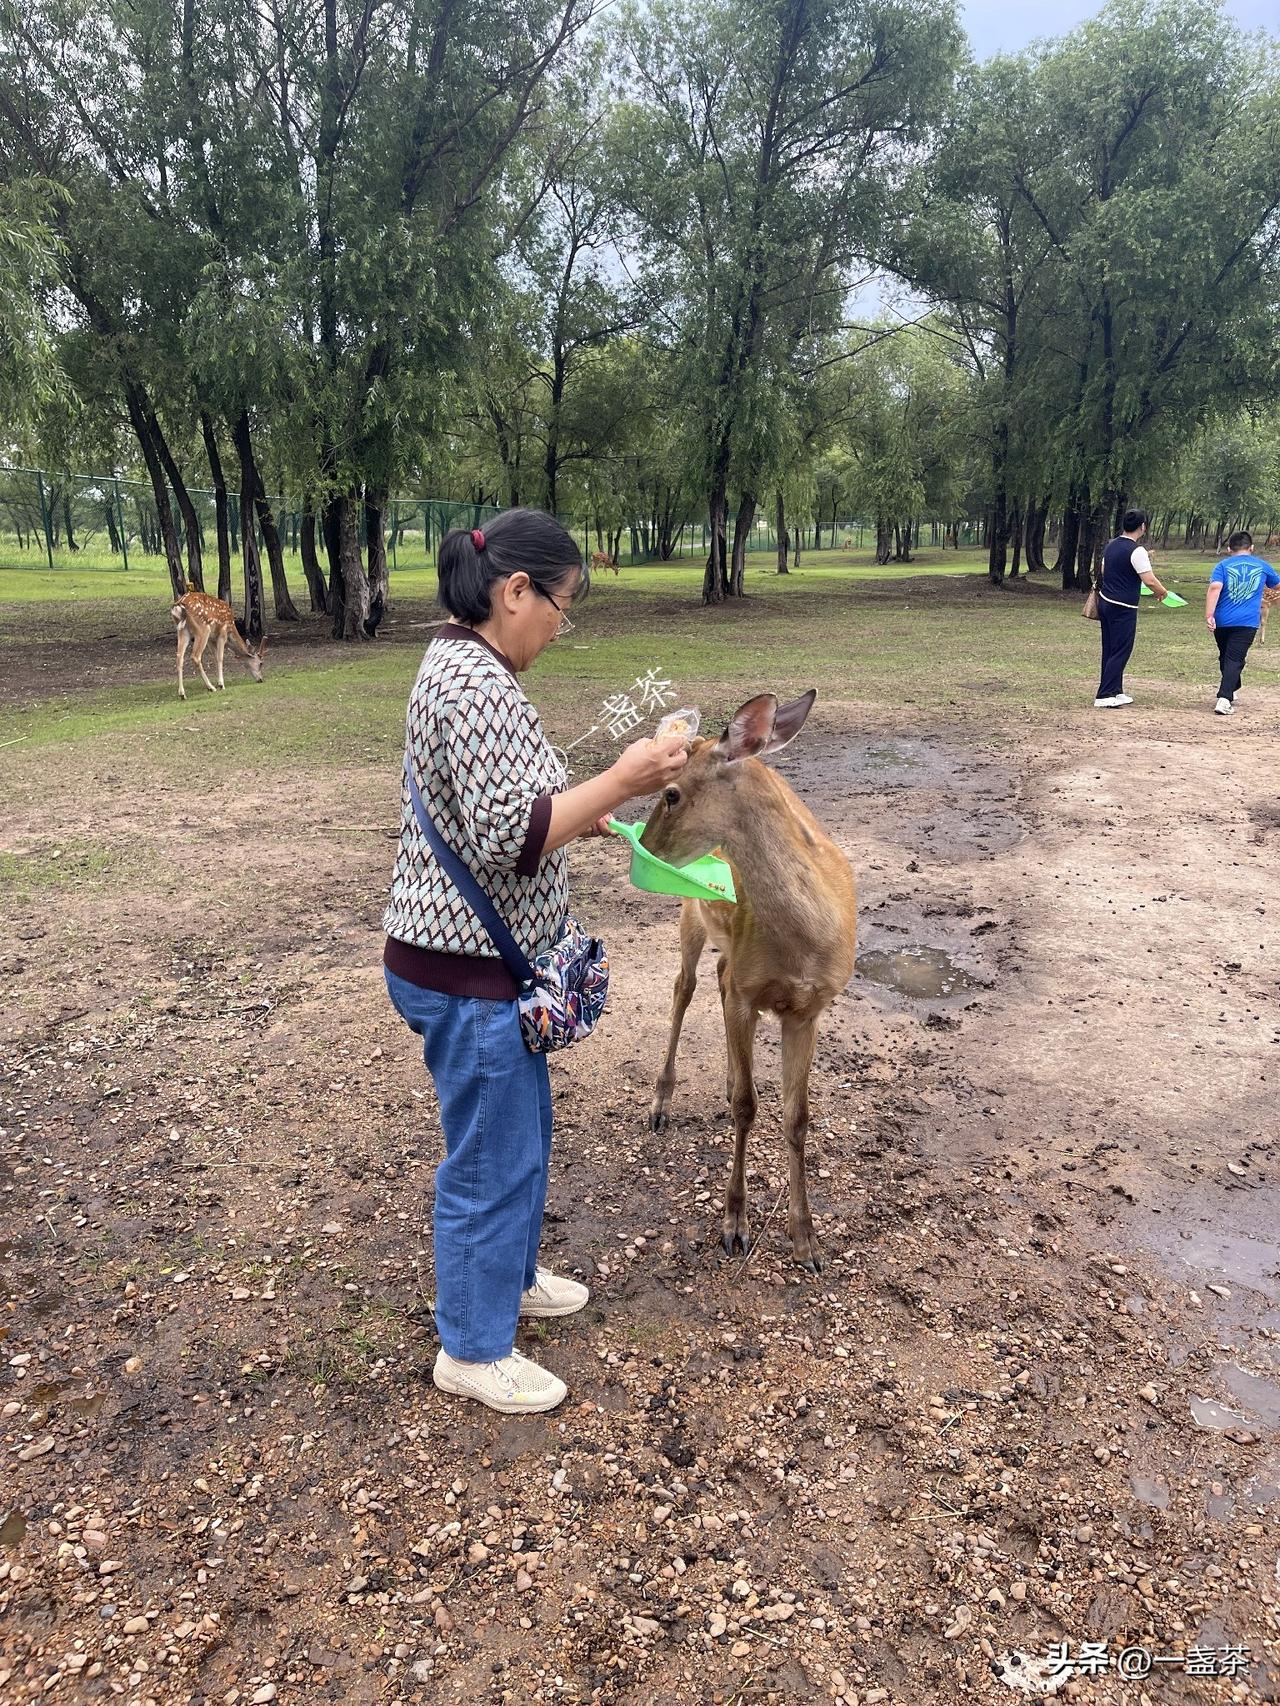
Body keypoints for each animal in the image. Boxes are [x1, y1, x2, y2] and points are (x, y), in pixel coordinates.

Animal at [641, 691, 857, 1272]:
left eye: (671, 792)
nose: (643, 847)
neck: (803, 941)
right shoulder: (747, 993)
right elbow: (747, 1108)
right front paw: (733, 1225)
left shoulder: (809, 1007)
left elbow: (796, 1117)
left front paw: (807, 1243)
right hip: (689, 913)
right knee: (684, 986)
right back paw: (660, 1104)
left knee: (716, 976)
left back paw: (723, 1078)